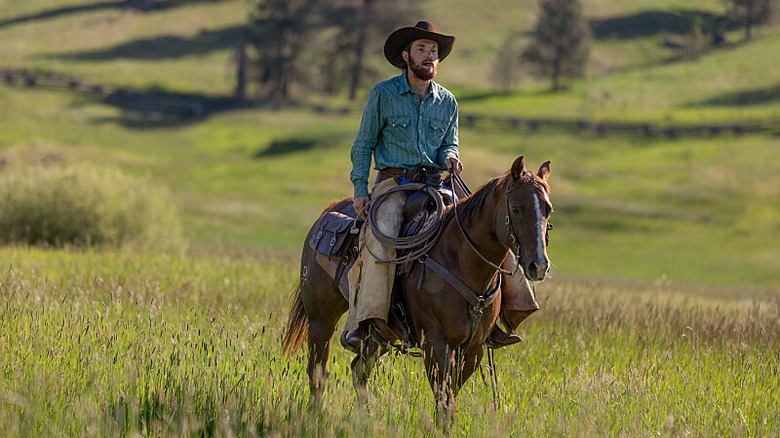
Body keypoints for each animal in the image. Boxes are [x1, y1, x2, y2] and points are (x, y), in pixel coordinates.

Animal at [278, 157, 548, 420]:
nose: (539, 265)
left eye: (548, 209)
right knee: (318, 371)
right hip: (321, 319)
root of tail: (327, 215)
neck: (462, 259)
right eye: (516, 208)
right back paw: (315, 417)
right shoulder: (436, 343)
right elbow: (445, 401)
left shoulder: (474, 348)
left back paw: (365, 419)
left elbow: (450, 396)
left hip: (380, 334)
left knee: (358, 370)